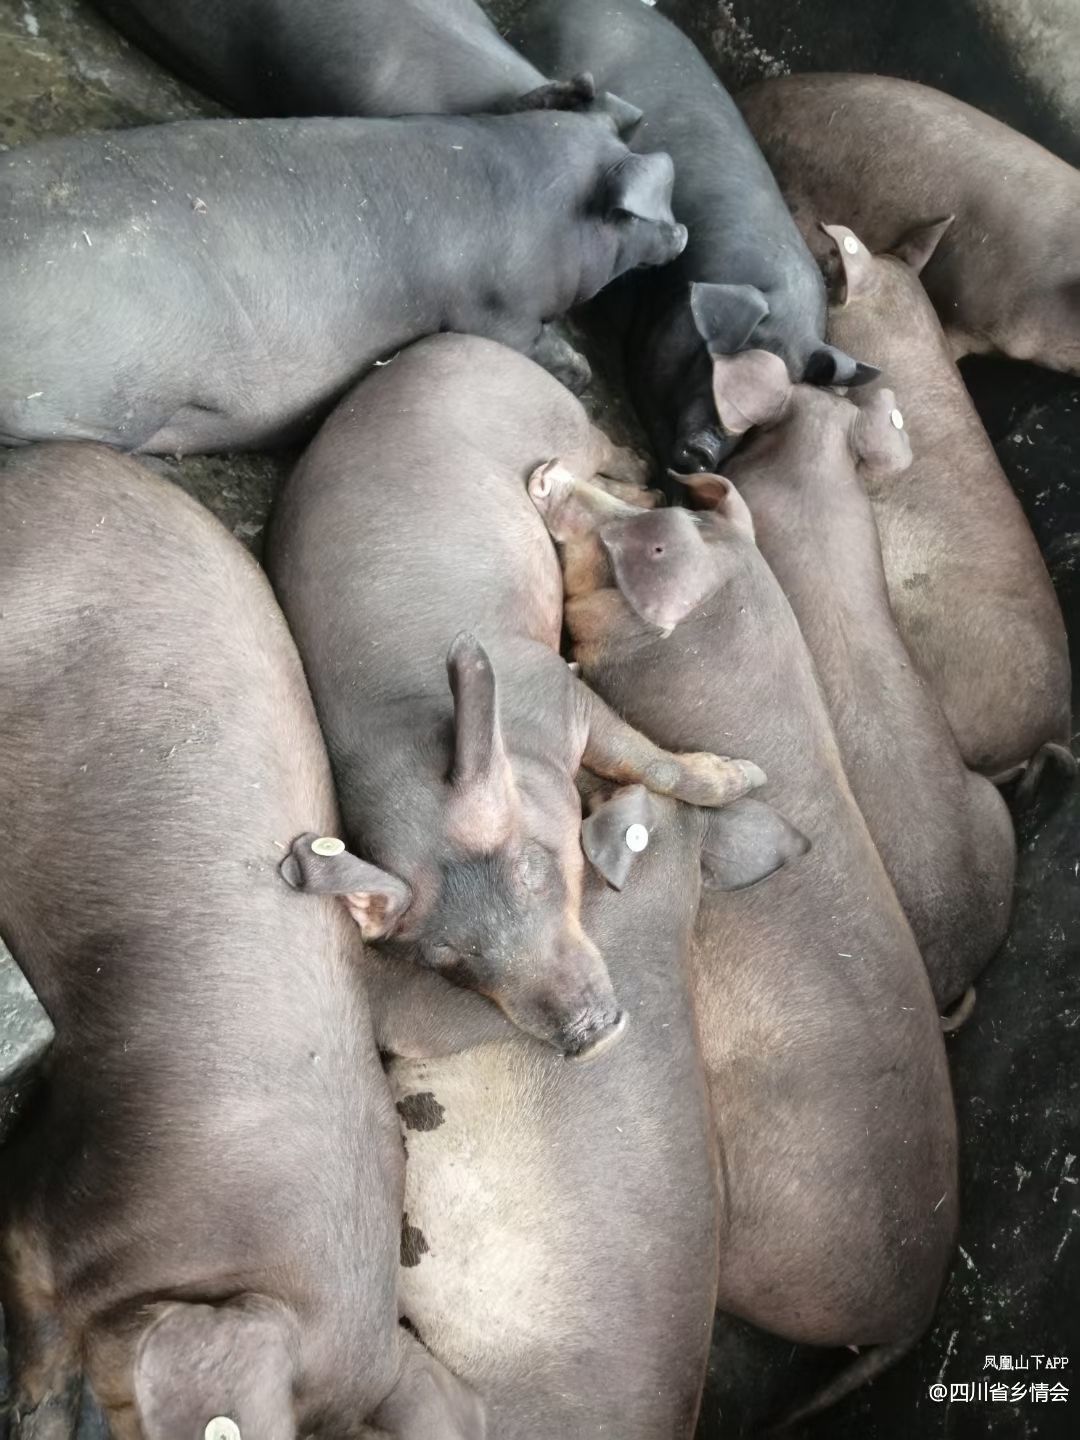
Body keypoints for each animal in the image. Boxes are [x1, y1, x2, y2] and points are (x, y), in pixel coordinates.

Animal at [266, 333, 765, 1060]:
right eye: (446, 955)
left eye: (532, 869)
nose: (588, 1035)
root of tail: (443, 342)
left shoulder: (559, 692)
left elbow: (652, 762)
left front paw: (745, 778)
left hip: (558, 416)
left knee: (605, 446)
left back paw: (648, 476)